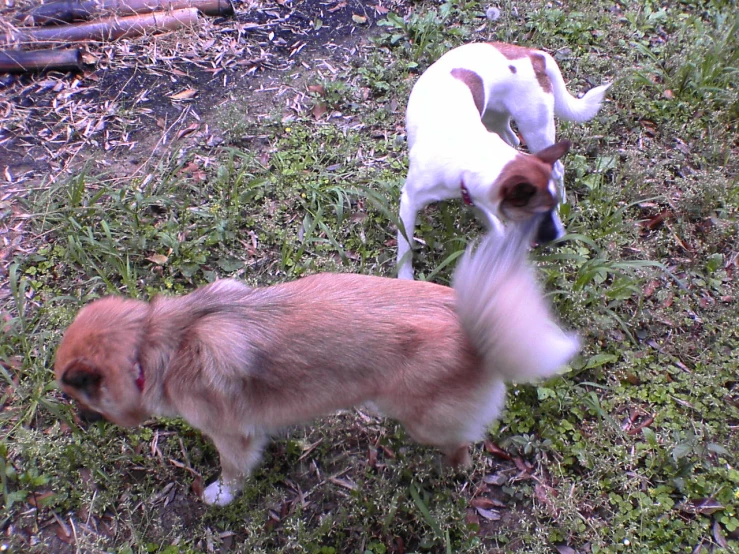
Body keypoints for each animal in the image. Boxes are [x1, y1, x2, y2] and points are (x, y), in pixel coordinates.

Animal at [56, 221, 580, 504]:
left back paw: (447, 470)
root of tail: (473, 328)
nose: (77, 421)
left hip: (425, 421)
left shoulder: (230, 436)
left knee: (461, 447)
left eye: (76, 394)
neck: (153, 344)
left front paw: (221, 495)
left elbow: (232, 470)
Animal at [398, 41, 612, 278]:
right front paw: (405, 277)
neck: (472, 152)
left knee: (557, 168)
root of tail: (532, 54)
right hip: (498, 120)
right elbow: (405, 249)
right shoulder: (415, 202)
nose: (562, 239)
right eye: (537, 216)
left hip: (535, 128)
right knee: (514, 140)